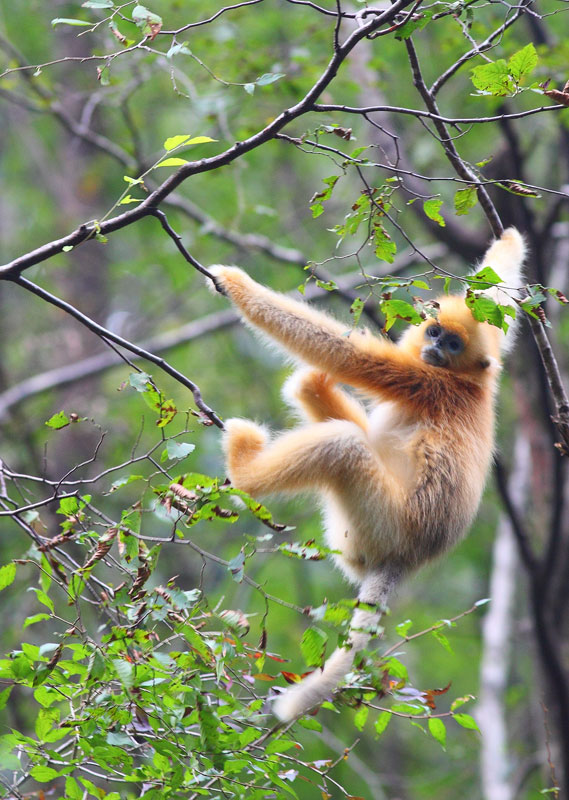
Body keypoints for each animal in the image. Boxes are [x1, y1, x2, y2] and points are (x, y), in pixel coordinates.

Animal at [207, 228, 524, 720]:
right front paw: (508, 240)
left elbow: (345, 353)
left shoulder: (424, 380)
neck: (471, 384)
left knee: (344, 445)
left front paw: (235, 283)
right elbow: (496, 291)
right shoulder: (485, 348)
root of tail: (404, 559)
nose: (434, 347)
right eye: (435, 331)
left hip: (377, 523)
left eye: (452, 345)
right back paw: (311, 386)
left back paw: (243, 467)